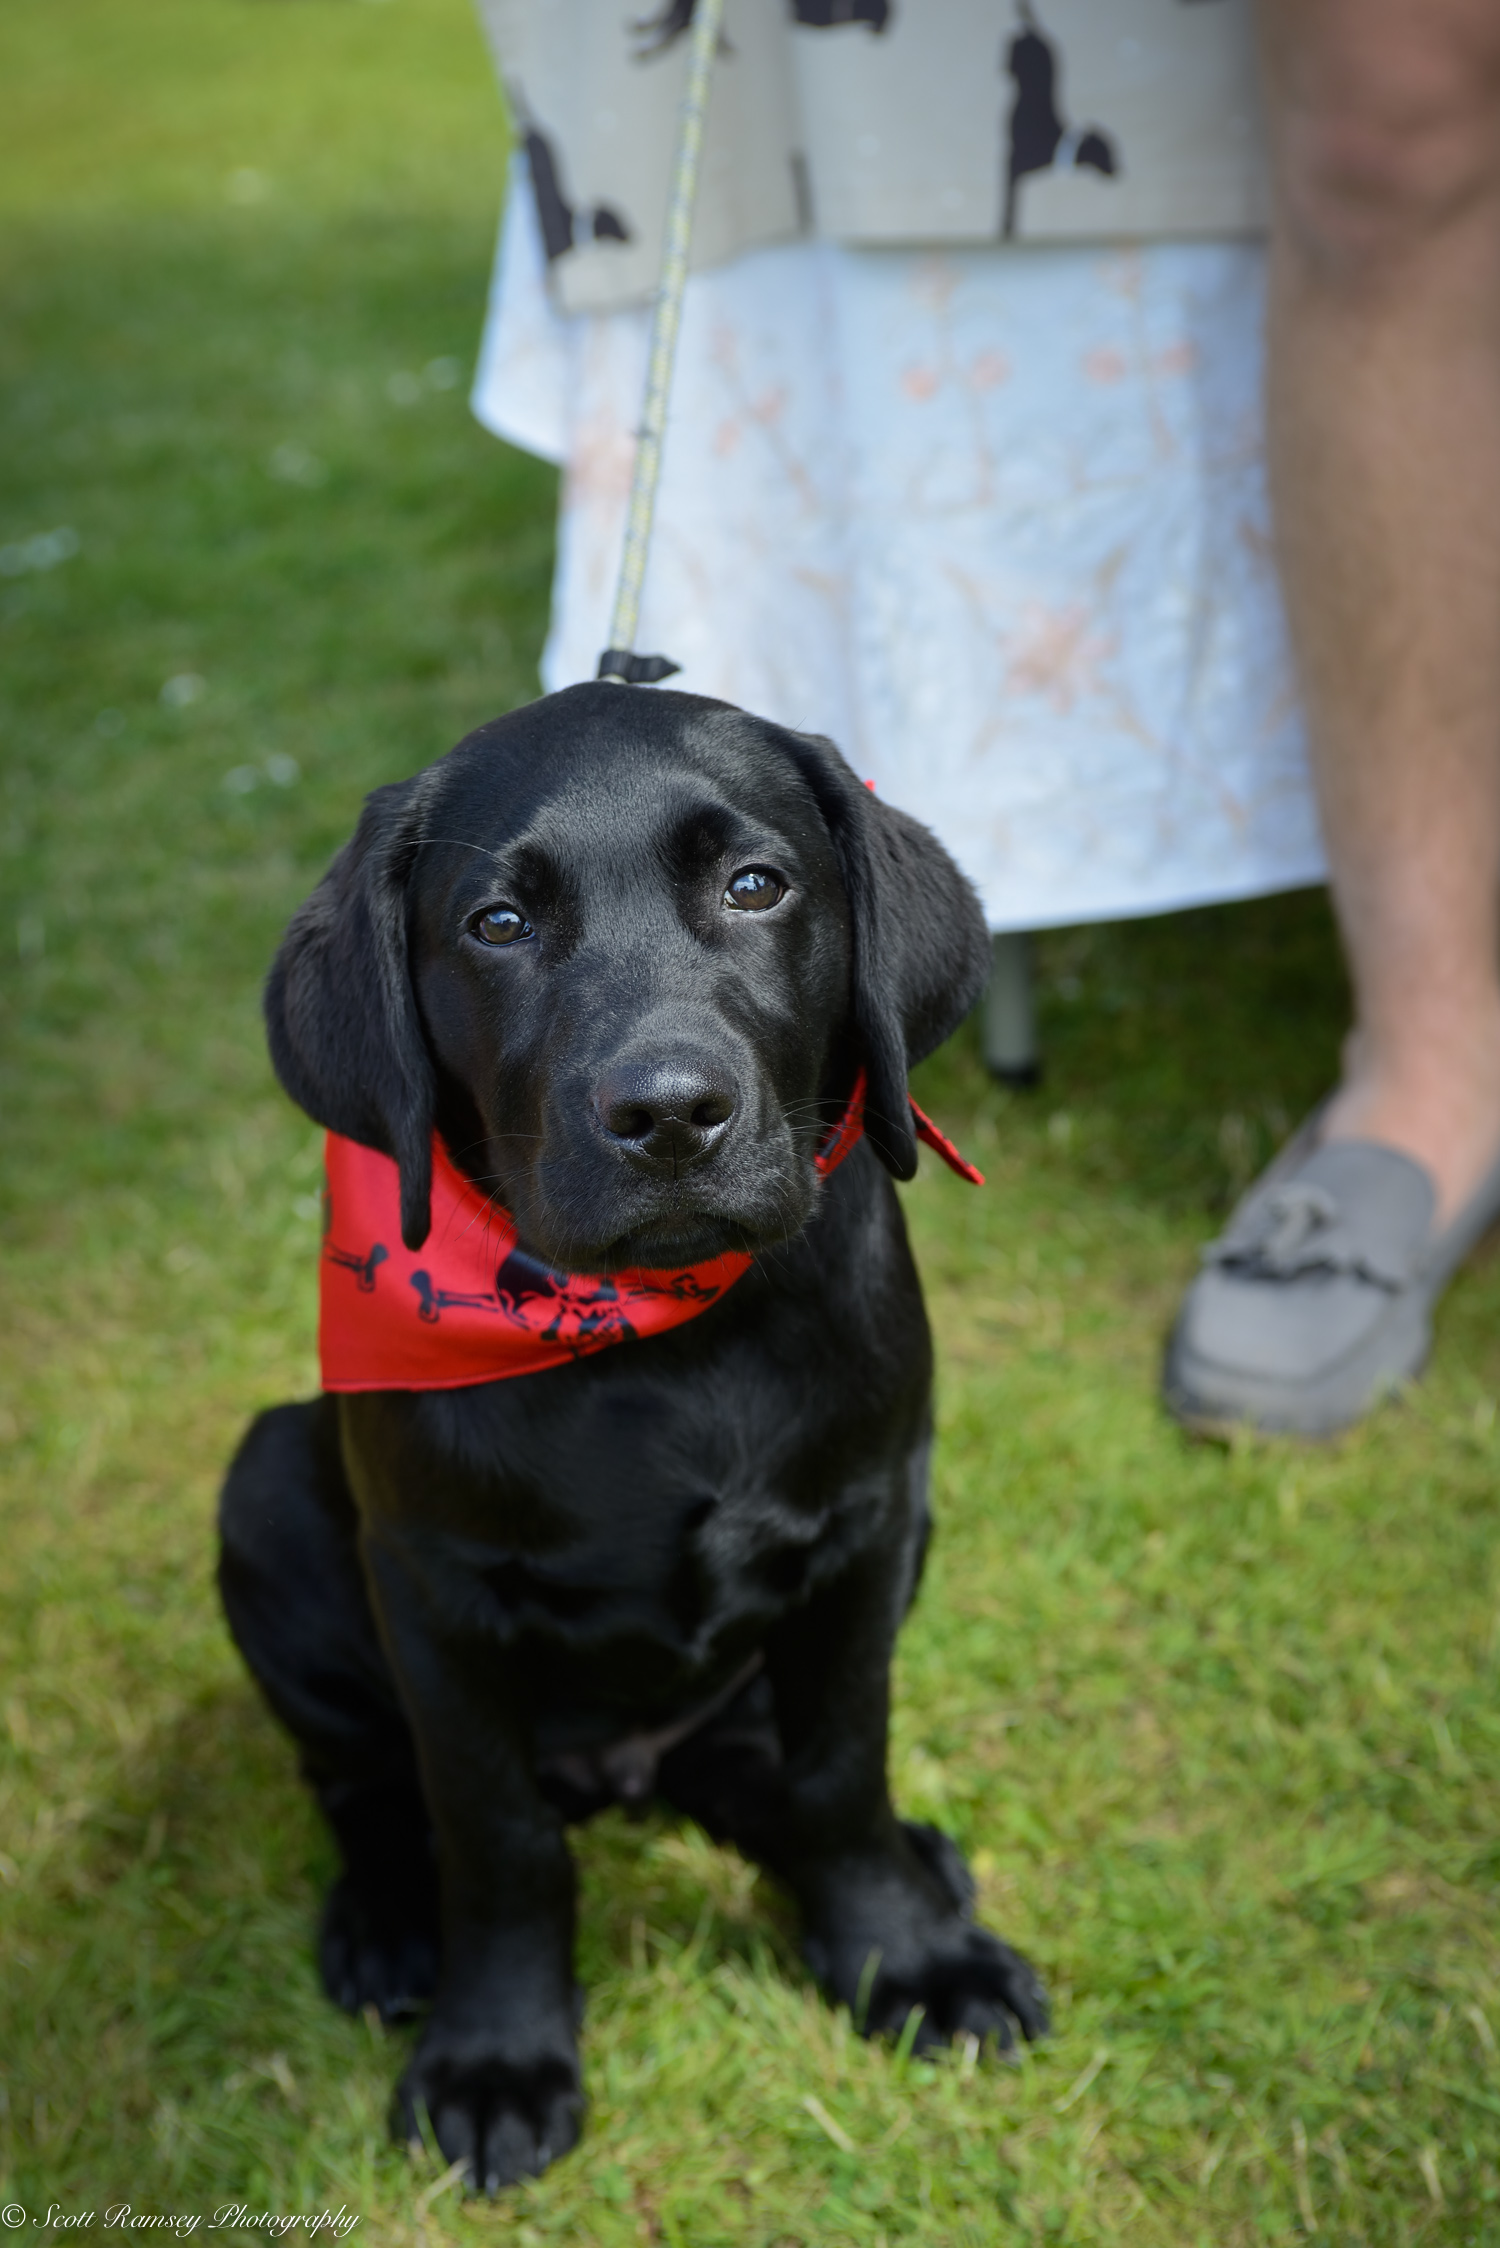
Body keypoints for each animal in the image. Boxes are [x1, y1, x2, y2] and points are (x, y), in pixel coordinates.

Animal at [220, 678, 1043, 2176]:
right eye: (497, 923)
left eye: (756, 885)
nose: (667, 1113)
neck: (668, 1339)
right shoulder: (435, 1596)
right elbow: (495, 1837)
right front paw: (496, 2058)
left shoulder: (868, 1524)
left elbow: (843, 1762)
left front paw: (904, 1956)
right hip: (263, 1493)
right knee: (365, 1784)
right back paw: (386, 1923)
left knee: (757, 1767)